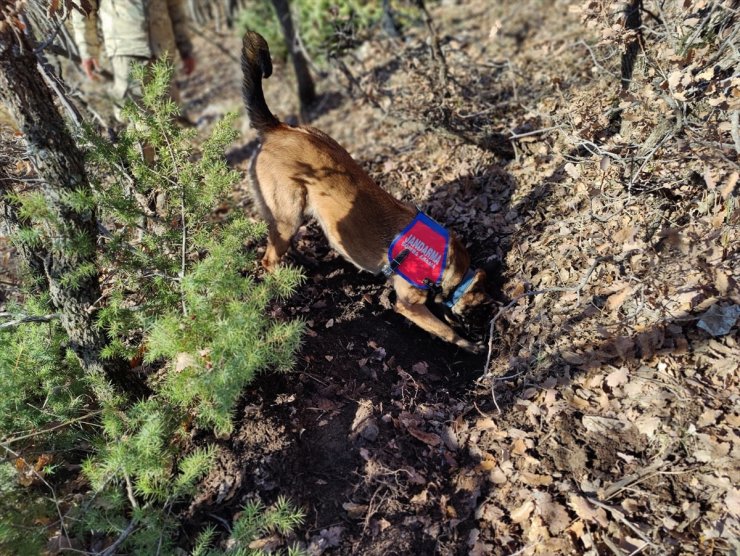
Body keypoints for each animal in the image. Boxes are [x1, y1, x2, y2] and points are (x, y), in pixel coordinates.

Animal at [241, 30, 492, 352]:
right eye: (479, 309)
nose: (485, 332)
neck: (447, 265)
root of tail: (278, 127)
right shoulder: (409, 305)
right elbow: (442, 328)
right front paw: (466, 343)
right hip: (288, 213)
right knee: (269, 258)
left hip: (292, 213)